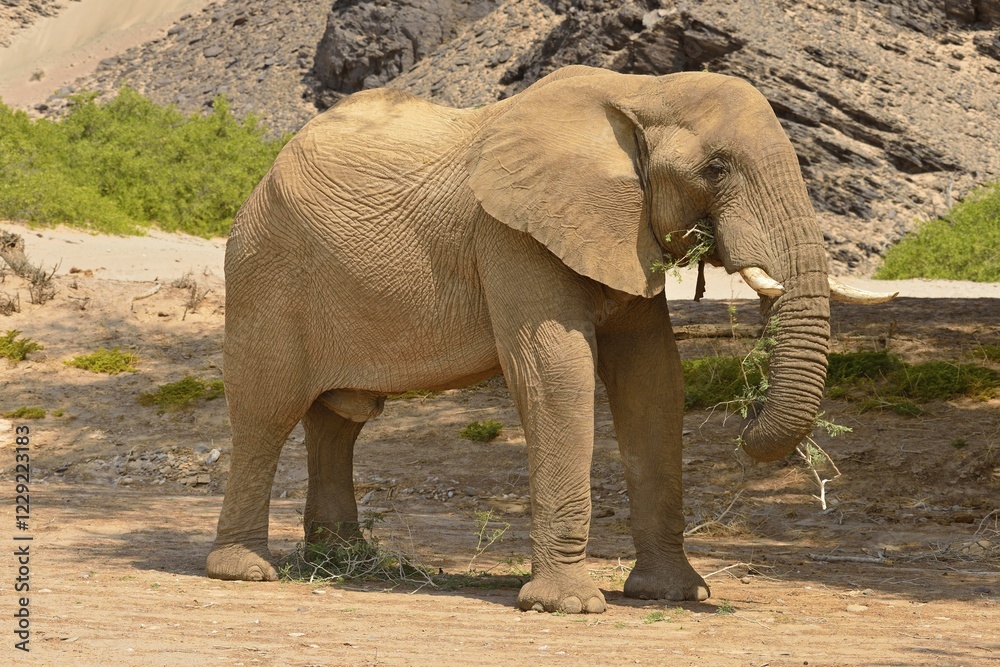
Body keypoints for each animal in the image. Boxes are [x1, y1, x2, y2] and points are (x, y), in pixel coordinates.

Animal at [207, 65, 894, 613]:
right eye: (716, 168)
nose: (747, 424)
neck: (642, 91)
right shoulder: (511, 233)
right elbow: (555, 371)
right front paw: (567, 607)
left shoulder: (620, 228)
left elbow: (653, 380)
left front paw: (674, 595)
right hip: (264, 269)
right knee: (267, 412)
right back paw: (246, 571)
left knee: (340, 419)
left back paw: (350, 565)